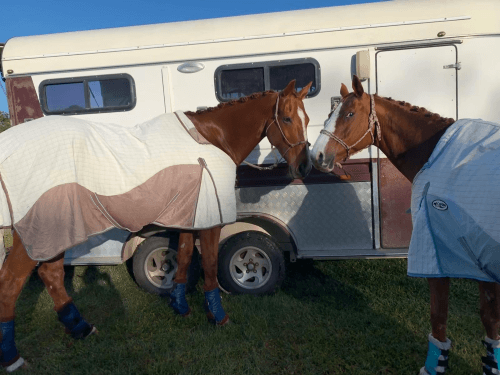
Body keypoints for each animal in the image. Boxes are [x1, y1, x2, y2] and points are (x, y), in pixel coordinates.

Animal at [0, 81, 312, 372]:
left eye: (306, 119)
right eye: (286, 118)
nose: (305, 167)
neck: (212, 139)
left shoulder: (188, 217)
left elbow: (183, 258)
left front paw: (180, 306)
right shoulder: (210, 220)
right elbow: (210, 265)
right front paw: (218, 316)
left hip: (55, 231)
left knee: (51, 275)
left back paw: (81, 328)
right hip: (38, 233)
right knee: (11, 283)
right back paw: (13, 358)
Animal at [312, 75, 500, 374]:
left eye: (349, 114)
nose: (316, 155)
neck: (435, 153)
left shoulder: (438, 255)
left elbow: (439, 318)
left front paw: (432, 367)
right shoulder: (480, 259)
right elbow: (491, 321)